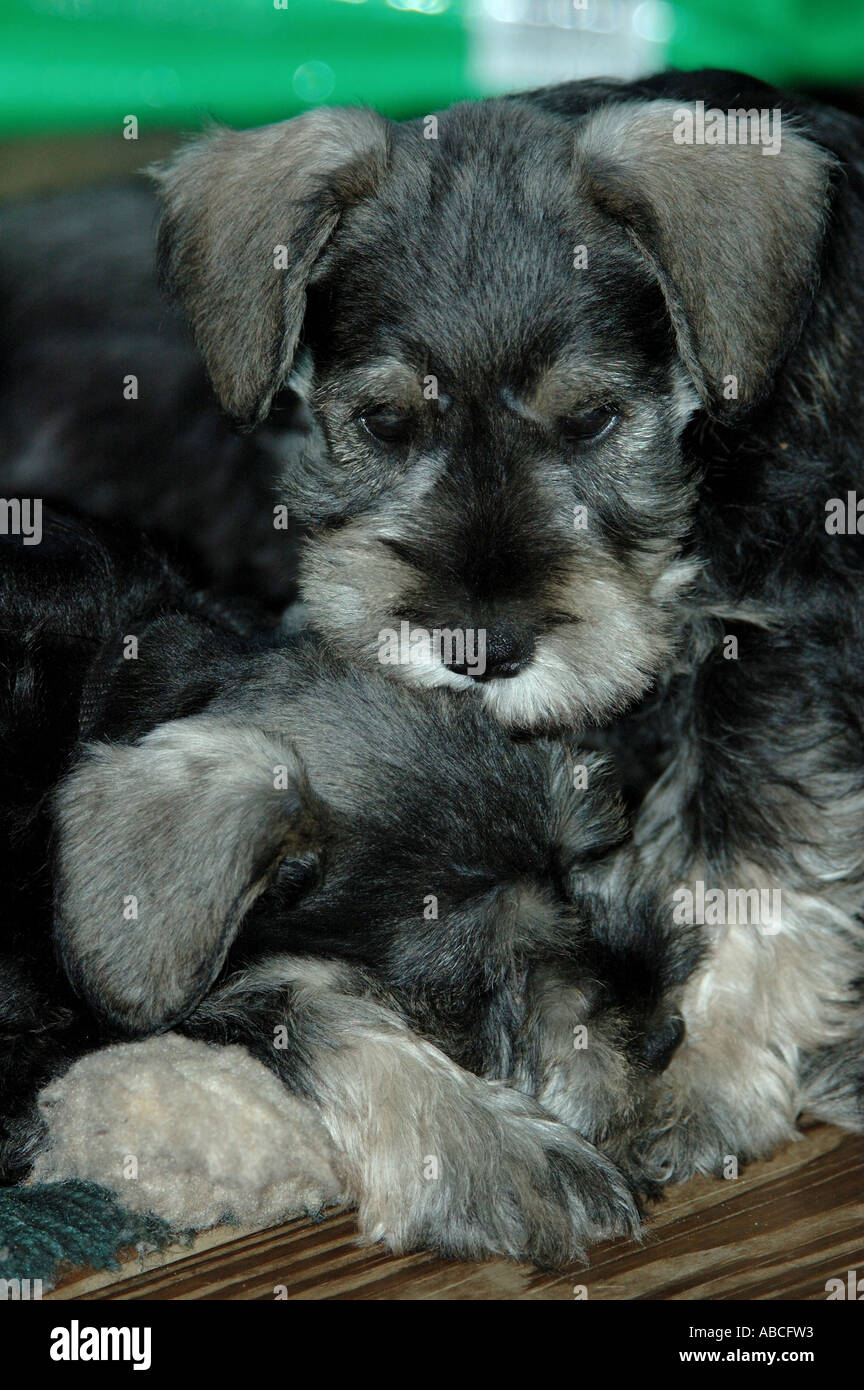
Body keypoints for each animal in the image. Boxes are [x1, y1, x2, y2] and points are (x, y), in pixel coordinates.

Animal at [150, 70, 864, 1184]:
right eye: (384, 423)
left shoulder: (778, 650)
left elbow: (748, 869)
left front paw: (703, 1079)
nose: (477, 650)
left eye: (593, 421)